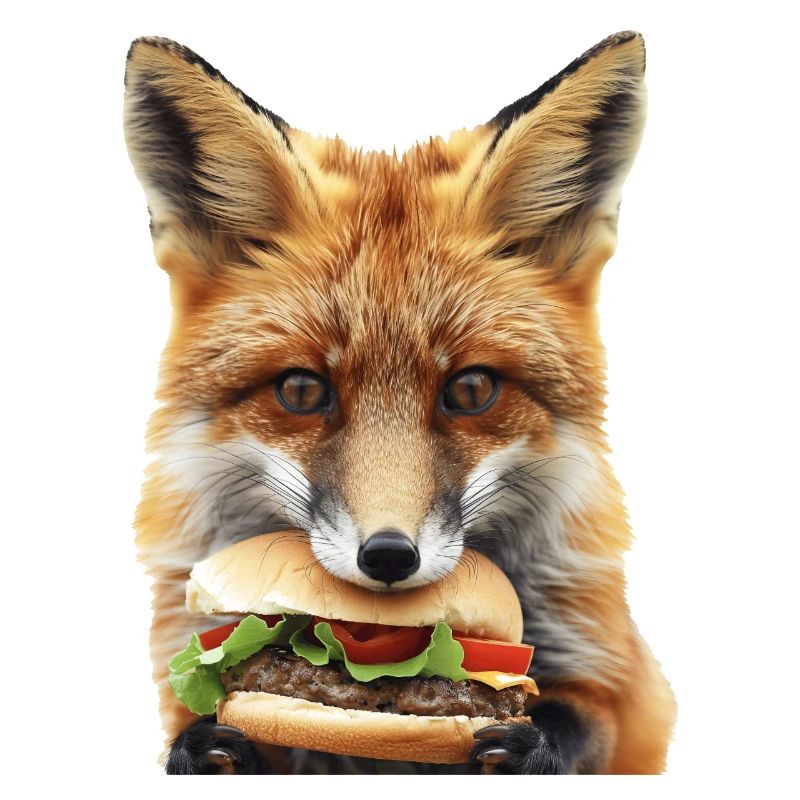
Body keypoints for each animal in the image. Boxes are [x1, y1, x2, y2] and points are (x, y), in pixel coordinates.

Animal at [124, 30, 676, 774]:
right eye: (302, 390)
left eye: (471, 389)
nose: (388, 557)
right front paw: (206, 746)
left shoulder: (623, 685)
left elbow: (586, 726)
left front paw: (526, 745)